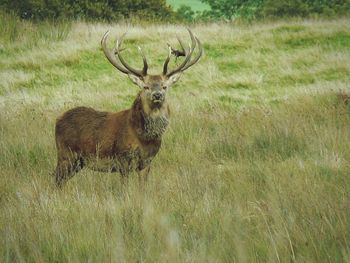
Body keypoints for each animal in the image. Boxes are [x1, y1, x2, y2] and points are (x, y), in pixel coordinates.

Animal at [54, 29, 202, 188]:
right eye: (146, 87)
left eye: (164, 86)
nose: (157, 95)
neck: (144, 138)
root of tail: (57, 120)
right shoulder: (122, 158)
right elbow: (124, 187)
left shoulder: (147, 161)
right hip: (66, 154)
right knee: (56, 180)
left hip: (78, 162)